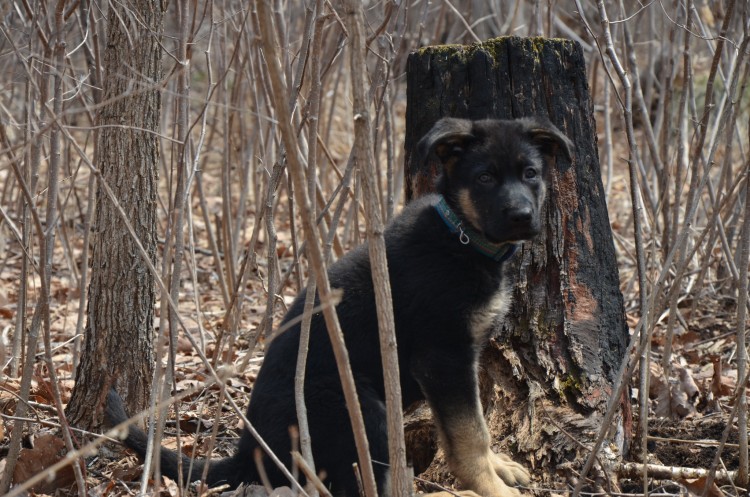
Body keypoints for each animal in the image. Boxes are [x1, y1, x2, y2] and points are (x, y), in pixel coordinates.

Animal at [106, 117, 572, 496]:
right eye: (485, 177)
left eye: (530, 174)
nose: (522, 216)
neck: (461, 234)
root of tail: (250, 450)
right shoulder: (443, 358)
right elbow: (469, 434)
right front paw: (491, 488)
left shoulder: (461, 360)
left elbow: (472, 425)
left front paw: (499, 468)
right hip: (361, 409)